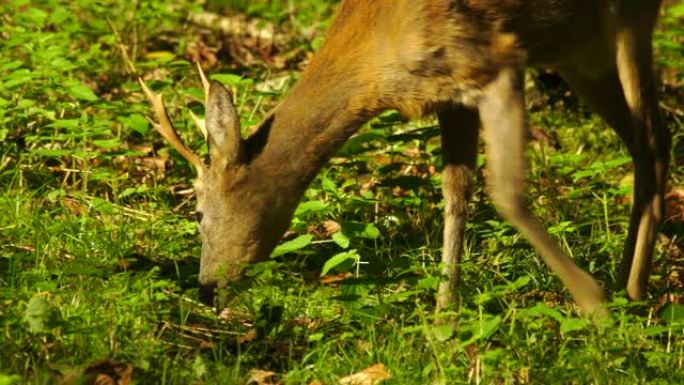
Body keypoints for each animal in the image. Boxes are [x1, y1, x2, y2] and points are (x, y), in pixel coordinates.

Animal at [139, 0, 668, 316]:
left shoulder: (494, 60)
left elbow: (506, 194)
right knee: (646, 146)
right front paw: (444, 315)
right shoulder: (450, 96)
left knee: (655, 143)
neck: (375, 53)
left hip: (628, 21)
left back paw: (630, 292)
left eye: (199, 212)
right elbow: (456, 192)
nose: (207, 287)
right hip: (579, 52)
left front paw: (592, 304)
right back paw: (630, 284)